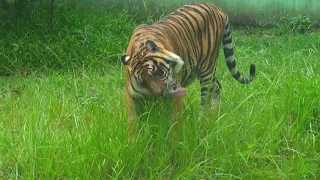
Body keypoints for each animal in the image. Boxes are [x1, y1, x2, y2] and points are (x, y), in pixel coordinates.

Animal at [121, 2, 256, 139]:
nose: (159, 94)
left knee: (205, 100)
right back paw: (214, 116)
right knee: (218, 86)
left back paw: (201, 122)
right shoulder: (132, 96)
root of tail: (217, 8)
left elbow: (175, 122)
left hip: (207, 69)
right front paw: (134, 141)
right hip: (200, 70)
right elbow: (133, 123)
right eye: (143, 81)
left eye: (158, 73)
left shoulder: (175, 92)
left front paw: (174, 141)